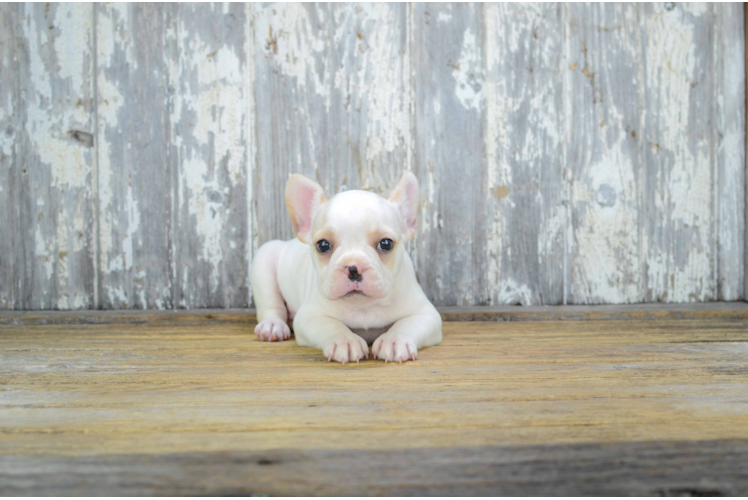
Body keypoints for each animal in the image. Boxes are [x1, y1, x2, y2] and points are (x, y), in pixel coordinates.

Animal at [251, 172, 442, 364]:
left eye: (386, 243)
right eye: (323, 245)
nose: (353, 268)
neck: (364, 306)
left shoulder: (426, 314)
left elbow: (407, 323)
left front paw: (395, 340)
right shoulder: (309, 316)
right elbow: (330, 325)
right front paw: (345, 341)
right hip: (264, 260)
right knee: (272, 307)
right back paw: (272, 325)